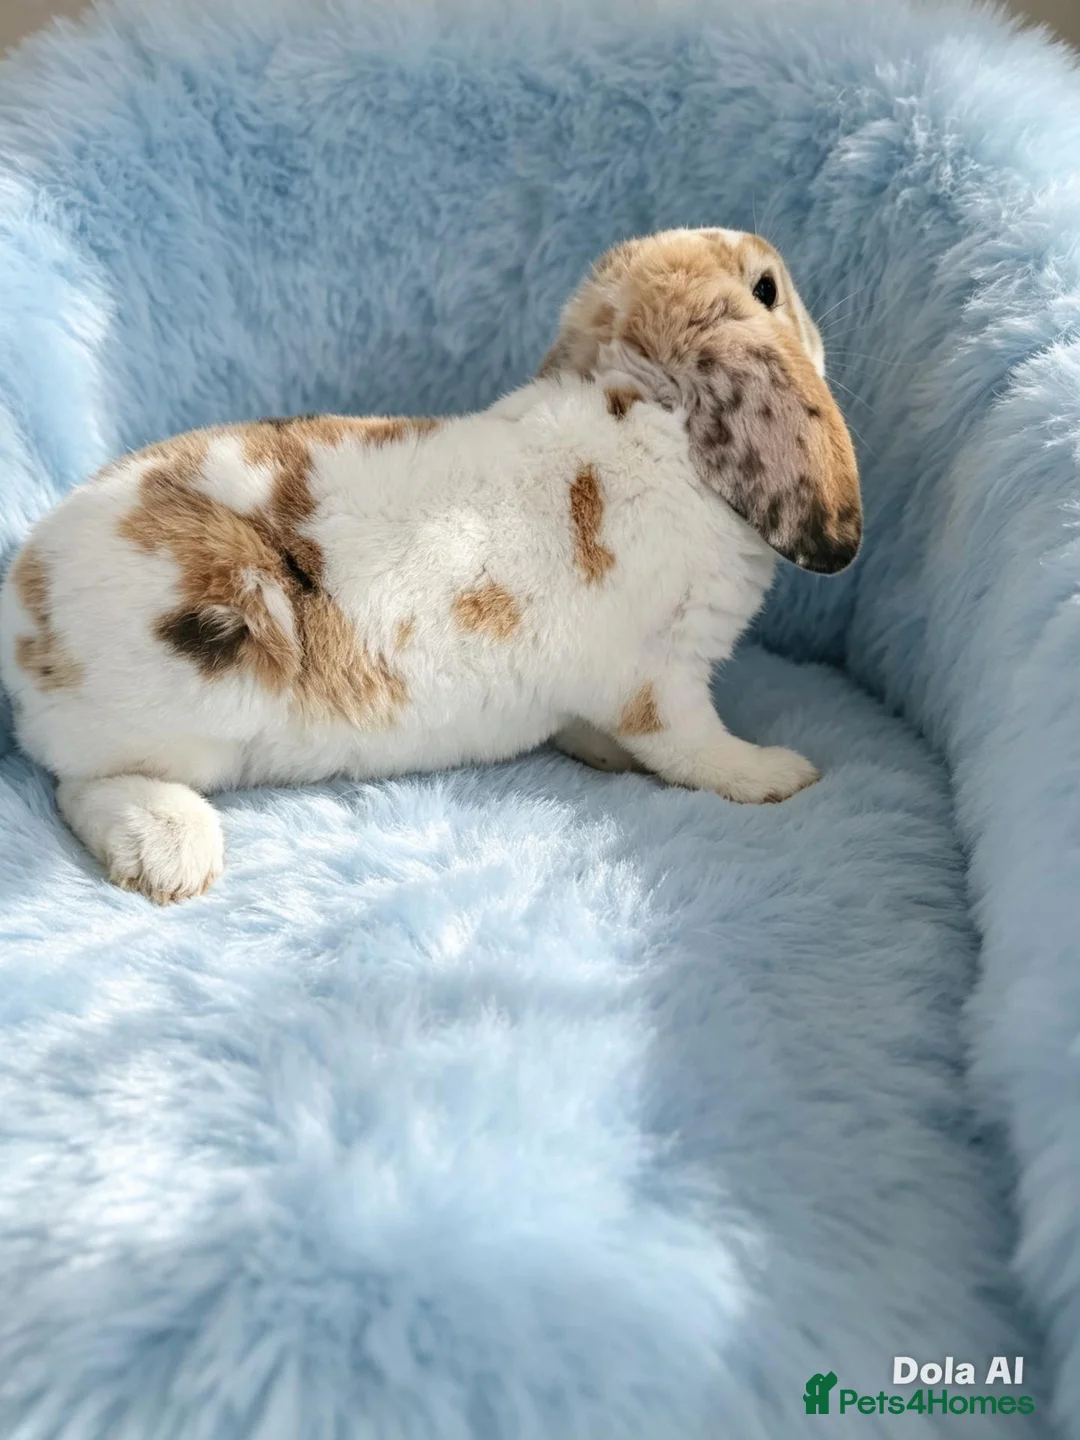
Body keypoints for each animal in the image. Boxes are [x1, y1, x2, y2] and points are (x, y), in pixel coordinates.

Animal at [0, 227, 860, 904]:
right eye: (766, 289)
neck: (652, 414)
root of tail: (24, 602)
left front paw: (601, 754)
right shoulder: (663, 680)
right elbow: (695, 749)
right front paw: (779, 774)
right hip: (206, 684)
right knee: (84, 782)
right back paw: (174, 856)